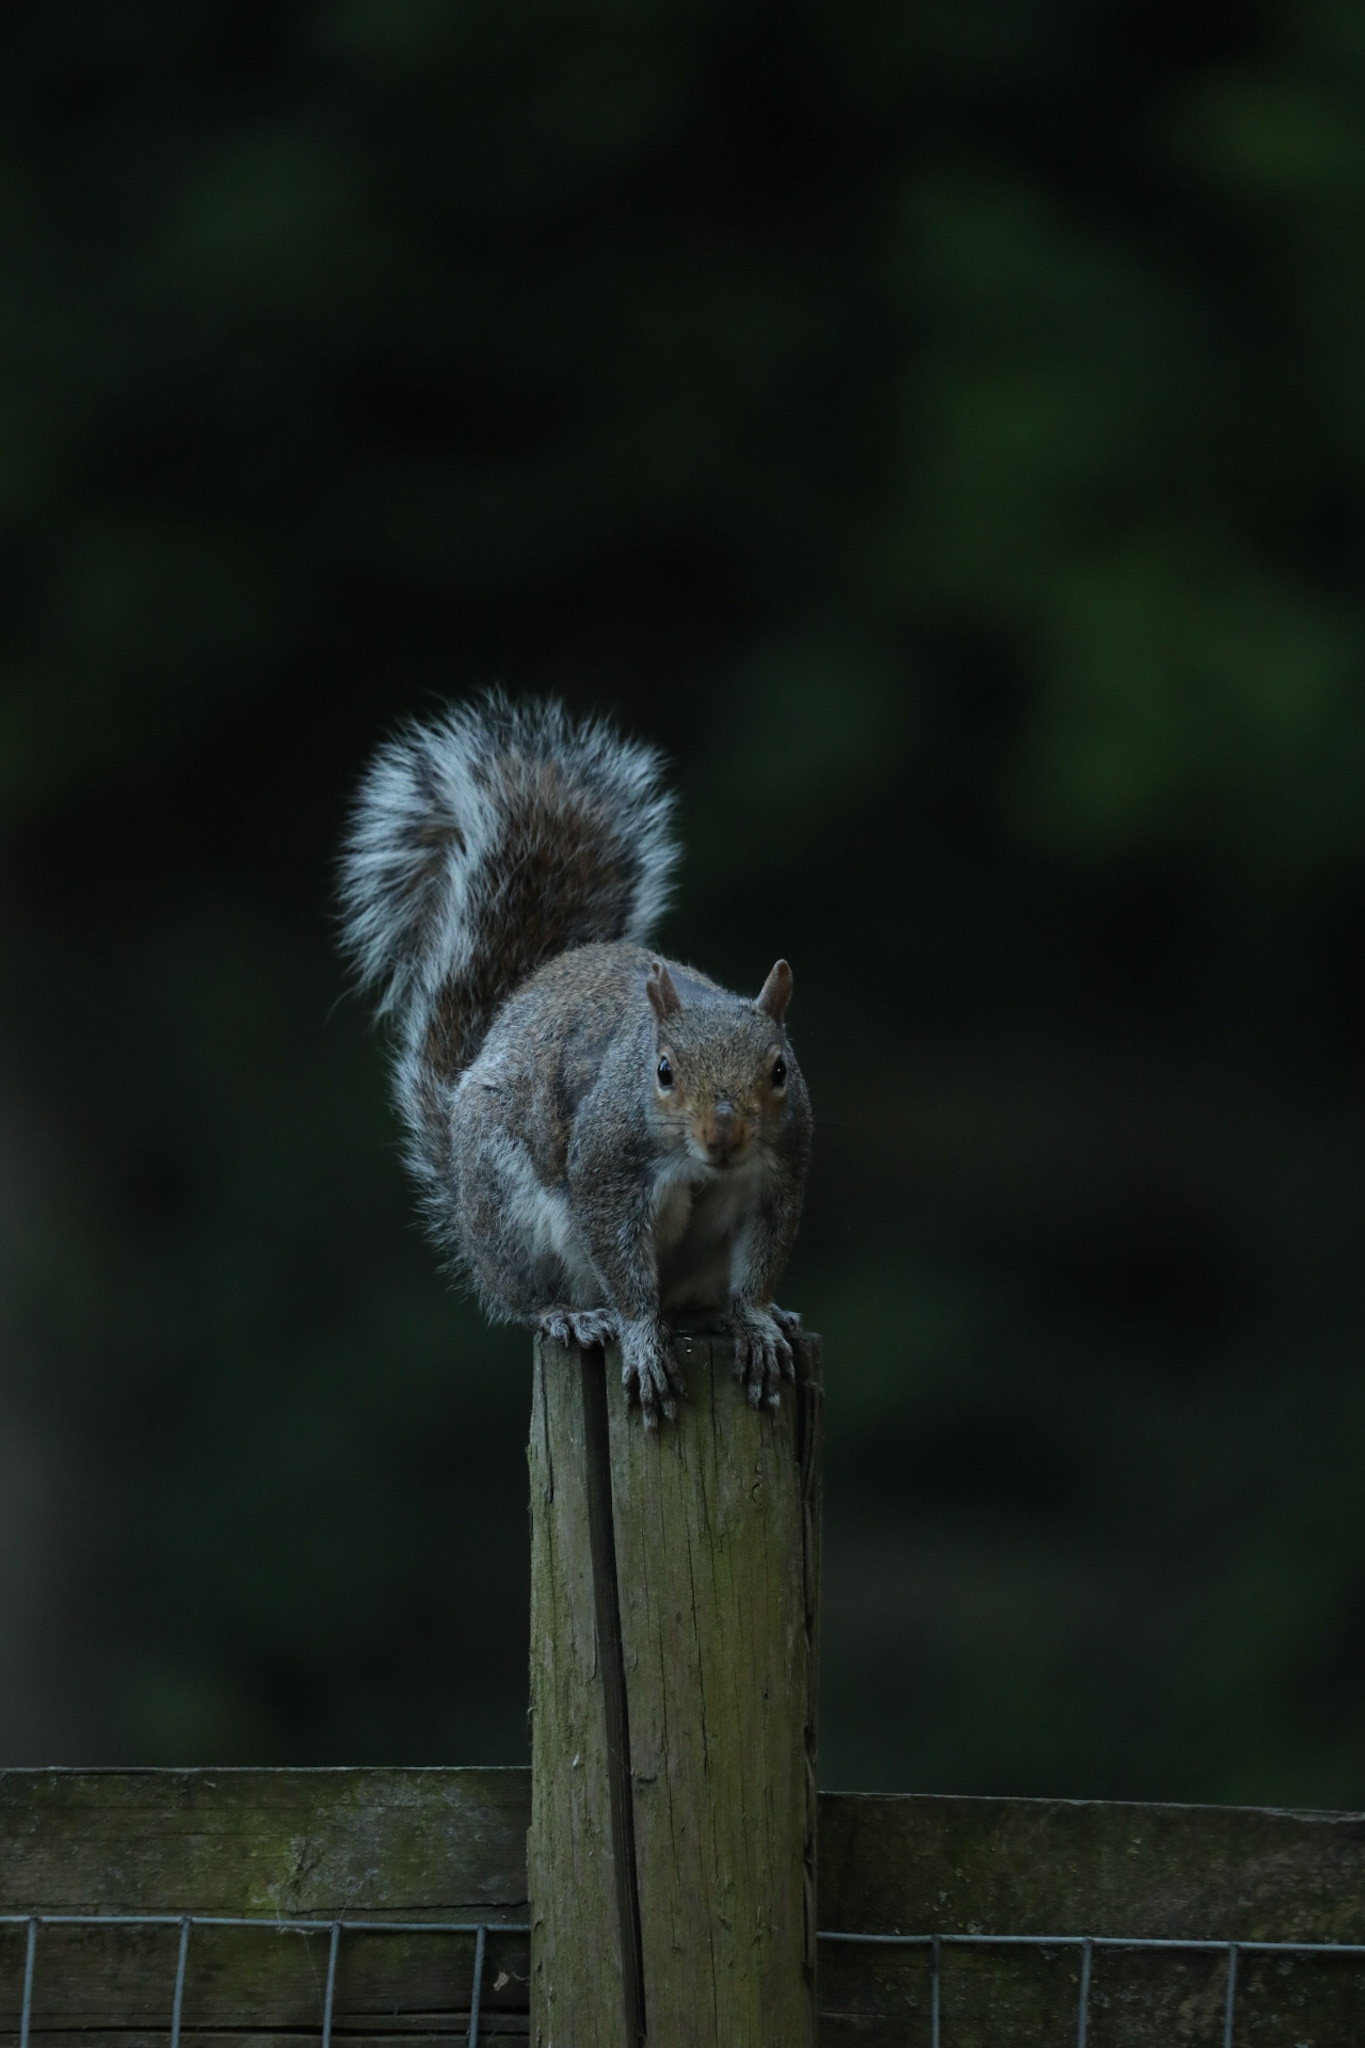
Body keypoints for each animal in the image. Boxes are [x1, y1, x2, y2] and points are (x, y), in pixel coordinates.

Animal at [338, 692, 812, 1426]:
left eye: (779, 1069)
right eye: (663, 1071)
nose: (724, 1137)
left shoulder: (779, 1176)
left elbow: (760, 1266)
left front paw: (758, 1320)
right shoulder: (605, 1163)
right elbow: (619, 1255)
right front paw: (642, 1338)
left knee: (698, 1301)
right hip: (510, 1211)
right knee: (529, 1295)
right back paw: (568, 1315)